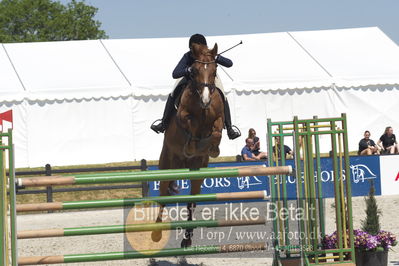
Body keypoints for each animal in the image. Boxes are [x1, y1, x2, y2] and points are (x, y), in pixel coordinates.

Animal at [152, 42, 225, 247]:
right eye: (195, 71)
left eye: (215, 70)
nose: (206, 100)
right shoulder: (183, 116)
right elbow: (190, 122)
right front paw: (191, 145)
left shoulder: (218, 119)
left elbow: (216, 130)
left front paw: (214, 148)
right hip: (167, 165)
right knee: (163, 197)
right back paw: (156, 233)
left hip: (197, 172)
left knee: (191, 202)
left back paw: (187, 238)